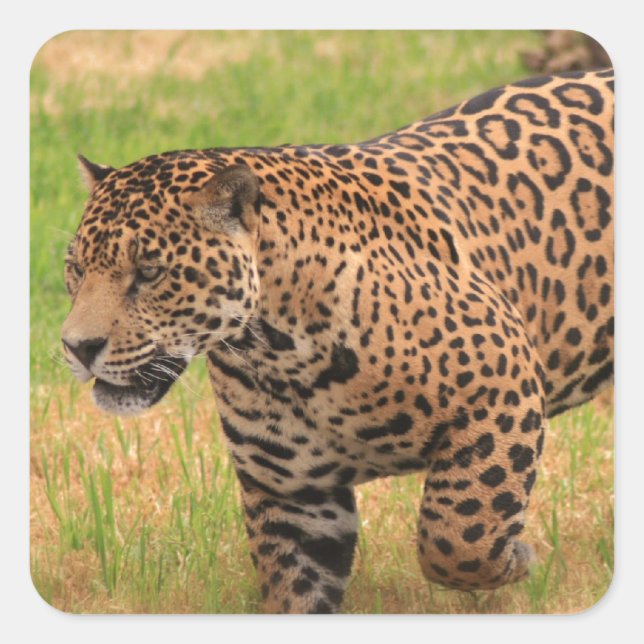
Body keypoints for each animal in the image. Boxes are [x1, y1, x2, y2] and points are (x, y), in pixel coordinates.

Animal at [61, 67, 614, 613]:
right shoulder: (294, 497)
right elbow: (296, 595)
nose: (77, 347)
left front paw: (518, 560)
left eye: (150, 272)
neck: (280, 352)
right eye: (77, 269)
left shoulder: (502, 393)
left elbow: (456, 535)